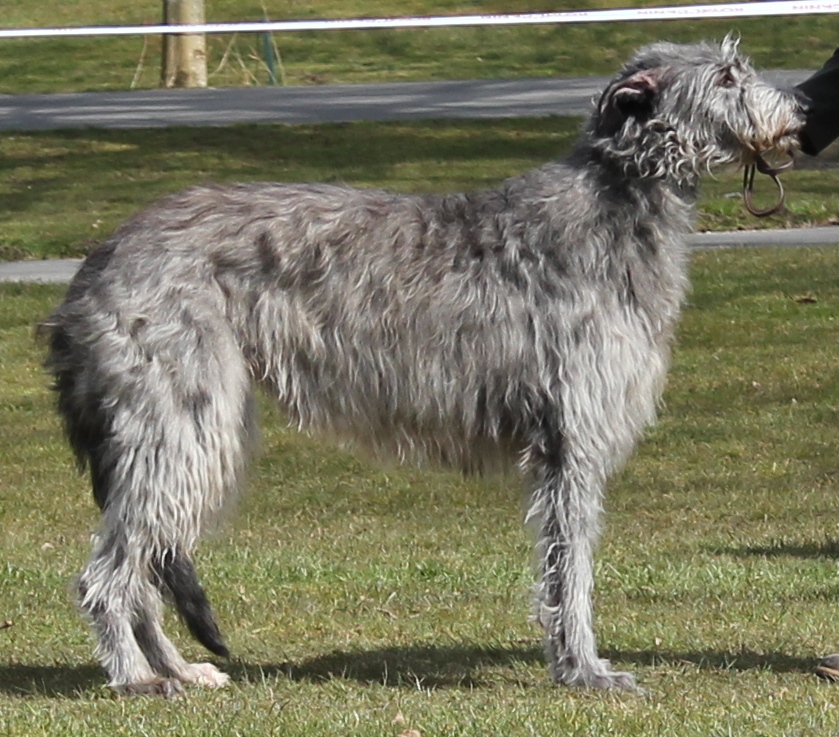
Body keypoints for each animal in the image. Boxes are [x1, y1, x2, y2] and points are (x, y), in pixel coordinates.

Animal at [41, 37, 805, 695]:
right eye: (727, 76)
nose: (800, 109)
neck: (614, 205)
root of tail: (94, 266)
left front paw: (574, 664)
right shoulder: (571, 439)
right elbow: (571, 568)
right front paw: (584, 670)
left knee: (148, 564)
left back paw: (175, 668)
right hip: (180, 420)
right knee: (110, 571)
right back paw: (136, 677)